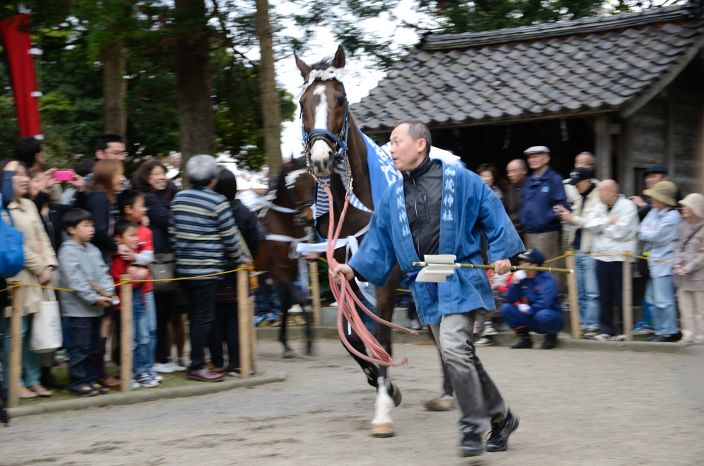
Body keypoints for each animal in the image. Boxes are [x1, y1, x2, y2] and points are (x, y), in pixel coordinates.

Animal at [253, 157, 316, 356]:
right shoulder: (276, 271)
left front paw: (286, 344)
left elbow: (287, 304)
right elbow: (300, 298)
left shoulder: (291, 270)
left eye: (312, 183)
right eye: (294, 185)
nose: (307, 219)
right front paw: (308, 341)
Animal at [296, 46, 402, 436]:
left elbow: (382, 331)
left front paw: (384, 406)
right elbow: (355, 335)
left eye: (340, 99)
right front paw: (381, 381)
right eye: (302, 103)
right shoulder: (345, 269)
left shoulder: (387, 272)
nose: (321, 159)